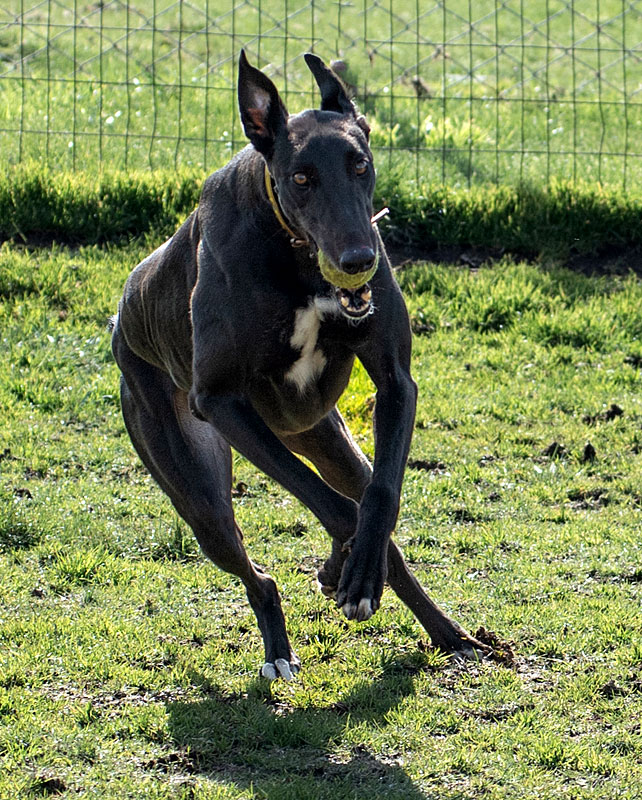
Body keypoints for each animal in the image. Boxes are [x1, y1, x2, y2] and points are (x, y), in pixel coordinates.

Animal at [111, 50, 484, 680]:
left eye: (360, 164)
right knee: (253, 567)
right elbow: (335, 507)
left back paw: (446, 632)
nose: (358, 260)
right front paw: (342, 567)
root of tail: (121, 317)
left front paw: (353, 572)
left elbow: (380, 496)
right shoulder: (220, 403)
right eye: (301, 179)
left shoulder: (395, 384)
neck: (295, 254)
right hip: (197, 486)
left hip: (324, 437)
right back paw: (281, 648)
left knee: (369, 506)